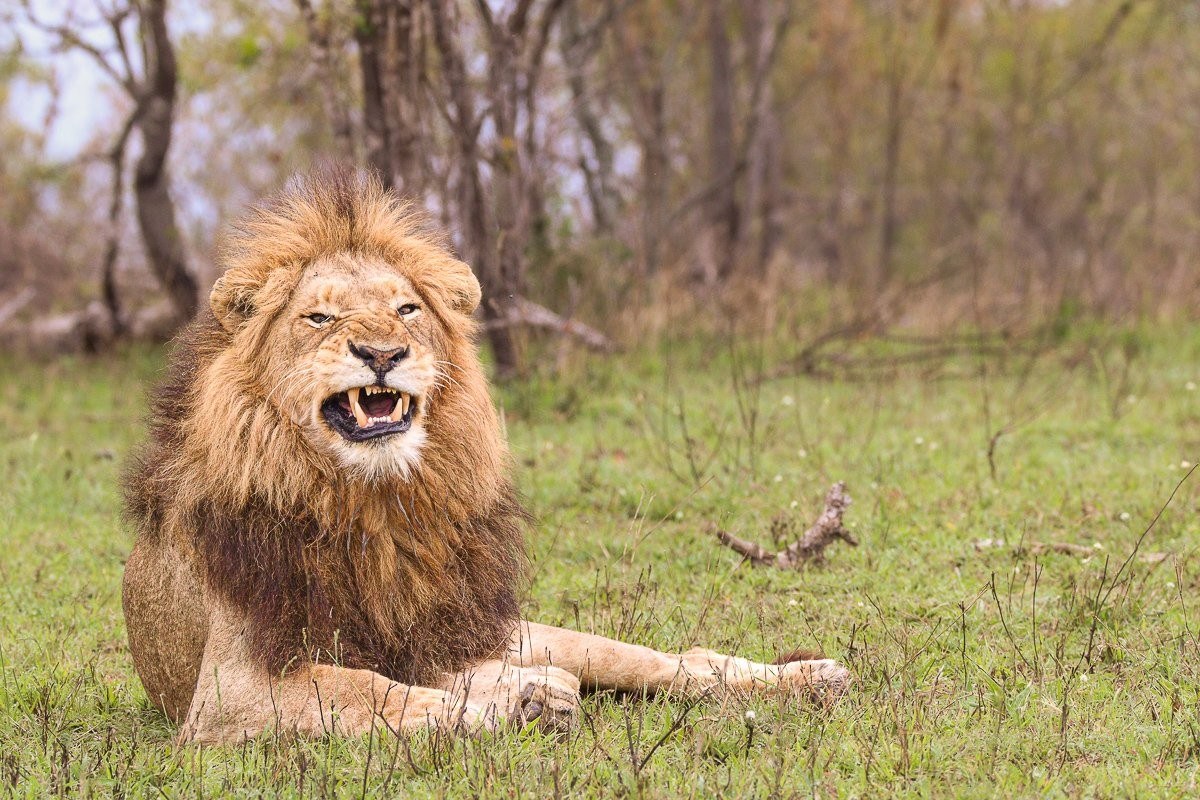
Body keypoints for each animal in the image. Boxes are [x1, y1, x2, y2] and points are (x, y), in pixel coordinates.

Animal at [121, 167, 849, 744]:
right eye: (318, 319)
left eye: (407, 309)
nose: (383, 353)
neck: (372, 498)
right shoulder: (225, 693)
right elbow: (365, 688)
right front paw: (510, 706)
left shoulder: (442, 632)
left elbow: (380, 686)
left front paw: (519, 701)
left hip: (519, 628)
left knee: (668, 661)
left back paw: (806, 678)